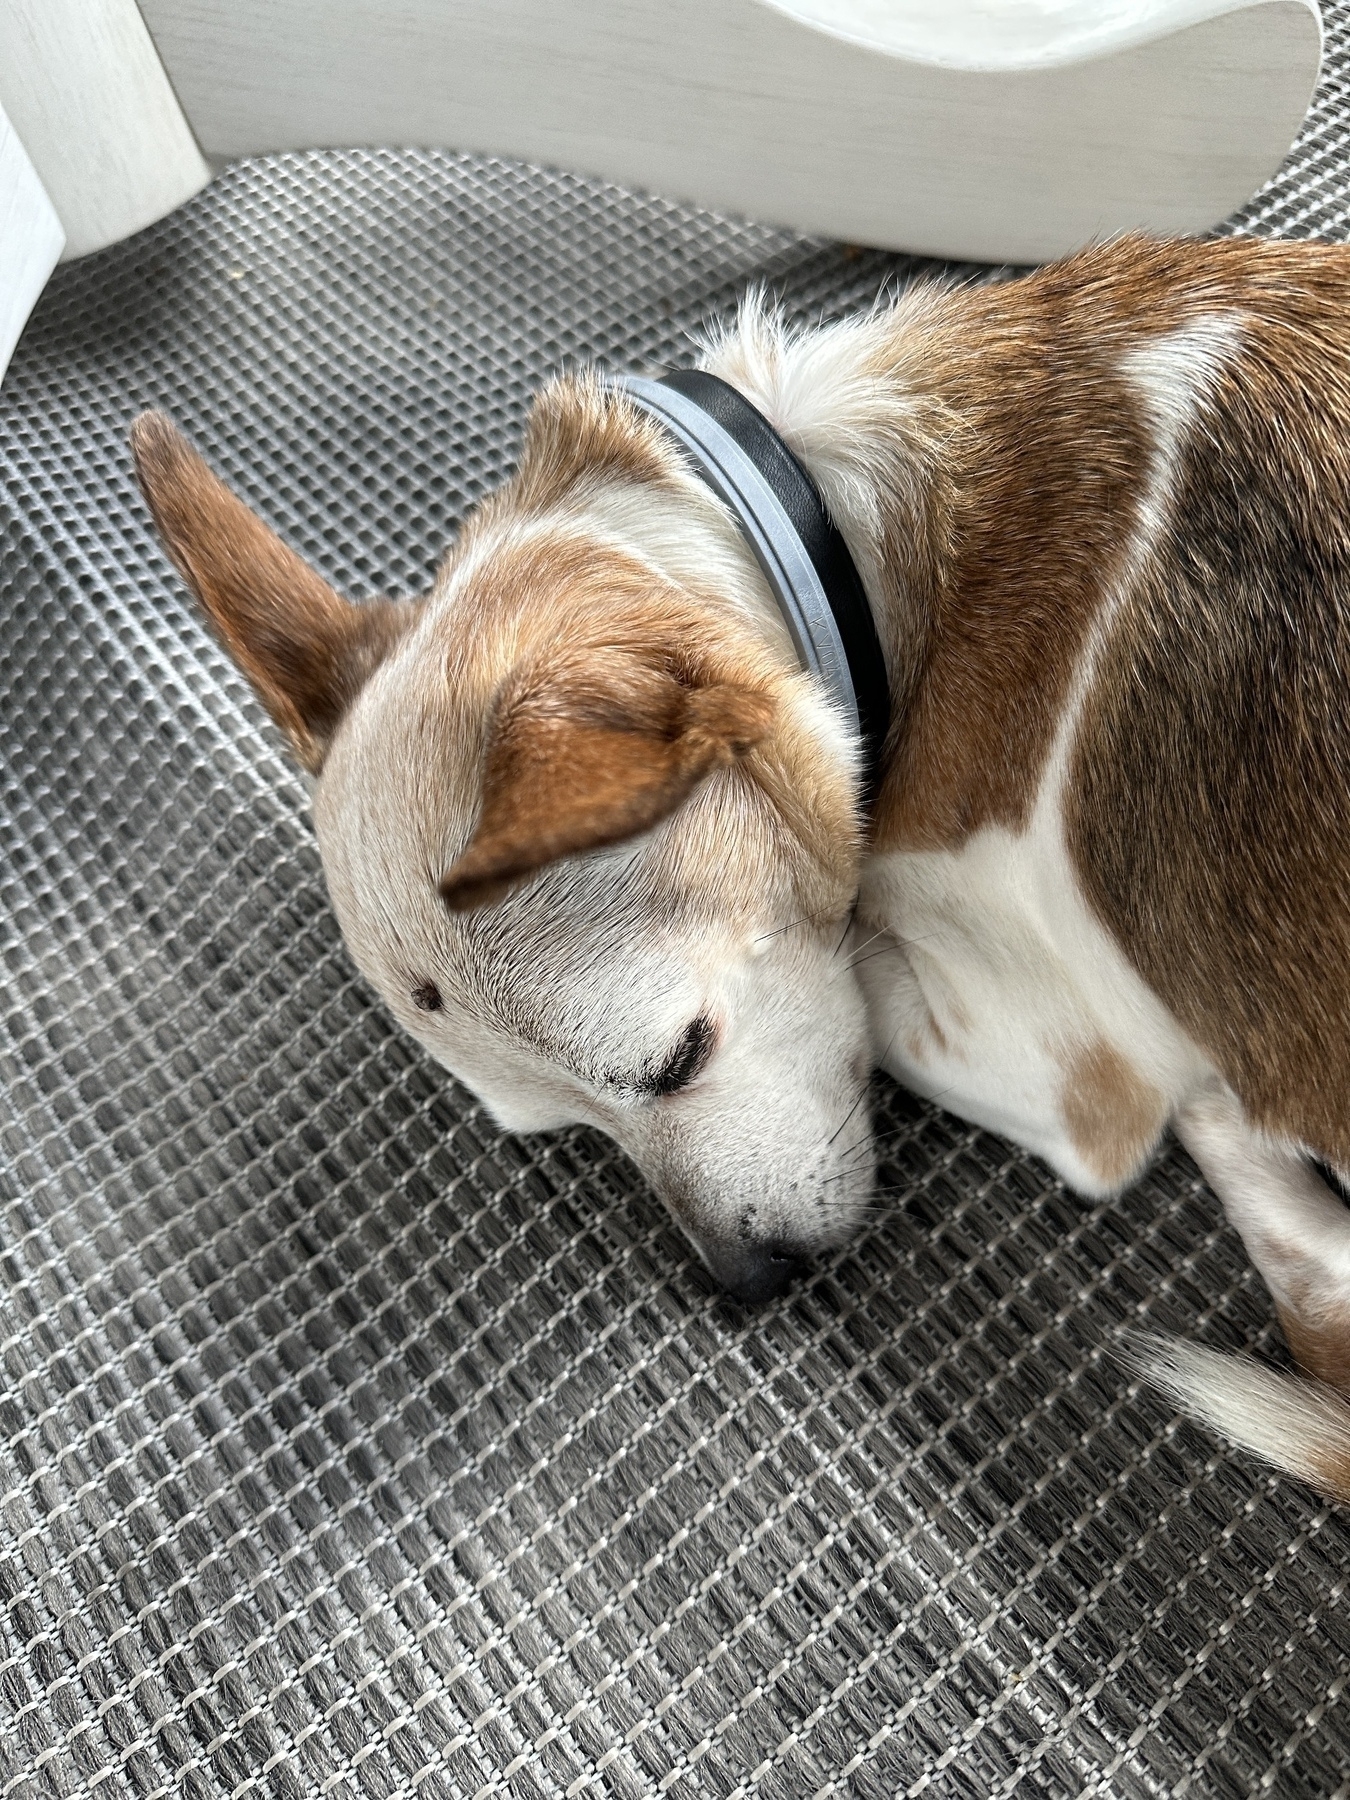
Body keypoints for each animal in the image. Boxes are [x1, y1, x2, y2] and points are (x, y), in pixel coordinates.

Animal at [132, 235, 1350, 1504]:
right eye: (567, 1130)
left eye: (678, 1058)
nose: (746, 1284)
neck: (840, 538)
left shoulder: (1072, 1066)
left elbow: (878, 975)